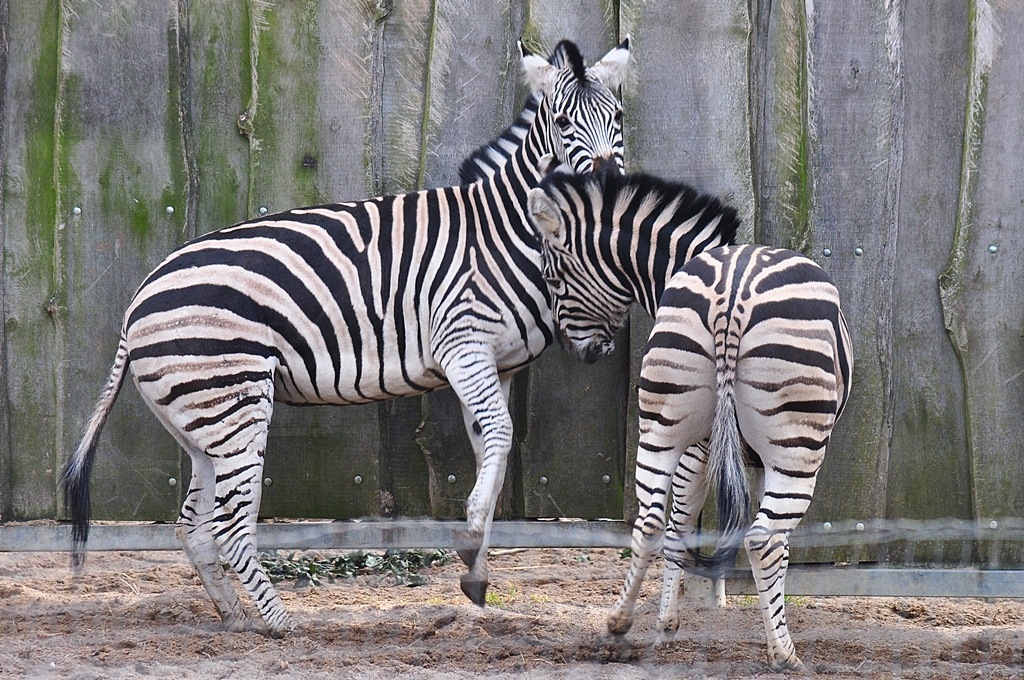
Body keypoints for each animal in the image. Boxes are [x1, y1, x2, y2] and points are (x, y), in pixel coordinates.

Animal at [62, 37, 631, 638]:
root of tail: (136, 304)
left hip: (199, 424)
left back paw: (236, 618)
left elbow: (490, 453)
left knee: (192, 525)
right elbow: (500, 436)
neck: (504, 231)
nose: (606, 182)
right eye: (563, 123)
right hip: (234, 404)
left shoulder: (496, 365)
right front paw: (472, 543)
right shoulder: (463, 346)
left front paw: (476, 561)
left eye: (617, 118)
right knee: (229, 523)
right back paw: (280, 623)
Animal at [527, 172, 853, 671]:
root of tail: (733, 289)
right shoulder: (718, 451)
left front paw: (665, 625)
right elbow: (765, 545)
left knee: (647, 523)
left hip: (660, 426)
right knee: (762, 539)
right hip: (796, 447)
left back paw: (618, 625)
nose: (579, 352)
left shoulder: (701, 447)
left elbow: (676, 527)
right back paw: (785, 655)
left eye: (551, 277)